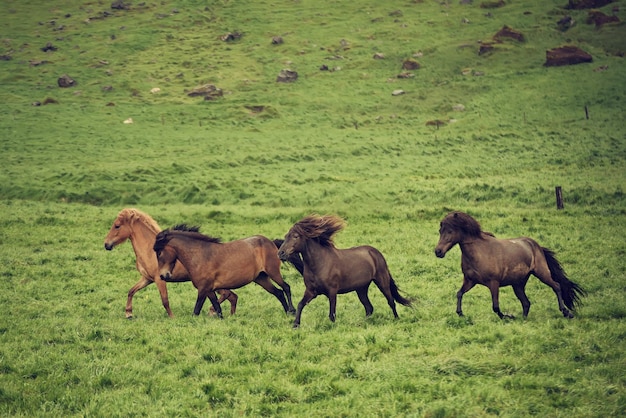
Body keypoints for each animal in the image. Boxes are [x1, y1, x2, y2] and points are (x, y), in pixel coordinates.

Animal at [103, 207, 238, 318]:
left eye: (117, 226)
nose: (106, 244)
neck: (151, 250)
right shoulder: (147, 279)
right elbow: (131, 291)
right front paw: (129, 313)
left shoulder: (159, 279)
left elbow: (165, 300)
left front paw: (172, 317)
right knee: (232, 296)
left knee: (228, 295)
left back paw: (212, 312)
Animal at [153, 227, 294, 318]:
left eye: (159, 253)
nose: (163, 275)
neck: (200, 255)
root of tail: (270, 242)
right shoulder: (209, 290)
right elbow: (218, 309)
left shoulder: (203, 289)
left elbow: (196, 311)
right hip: (261, 278)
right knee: (278, 293)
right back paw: (287, 313)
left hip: (273, 272)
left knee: (286, 287)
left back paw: (292, 311)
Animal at [276, 214, 412, 328]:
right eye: (286, 236)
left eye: (295, 236)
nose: (280, 253)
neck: (319, 264)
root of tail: (375, 252)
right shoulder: (311, 291)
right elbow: (300, 305)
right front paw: (295, 325)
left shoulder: (332, 292)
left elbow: (332, 314)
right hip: (361, 288)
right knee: (369, 307)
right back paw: (362, 323)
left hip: (381, 281)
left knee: (391, 301)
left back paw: (396, 319)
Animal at [432, 212, 584, 320]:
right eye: (440, 231)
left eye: (450, 231)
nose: (438, 252)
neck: (479, 252)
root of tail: (535, 245)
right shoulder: (470, 281)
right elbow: (459, 294)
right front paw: (461, 313)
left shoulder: (494, 283)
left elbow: (495, 307)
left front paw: (508, 316)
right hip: (518, 284)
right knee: (526, 303)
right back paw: (523, 319)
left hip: (542, 273)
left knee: (556, 286)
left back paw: (566, 312)